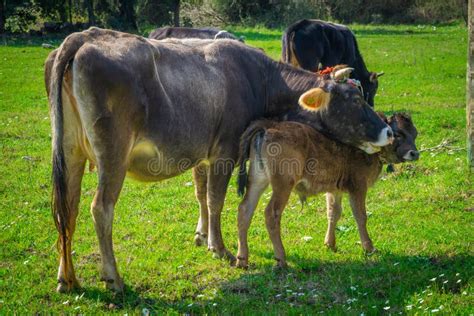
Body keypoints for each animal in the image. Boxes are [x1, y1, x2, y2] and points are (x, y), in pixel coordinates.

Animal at [235, 112, 416, 268]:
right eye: (398, 133)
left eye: (415, 133)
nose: (414, 153)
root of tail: (269, 127)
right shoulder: (358, 187)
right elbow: (361, 216)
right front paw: (369, 248)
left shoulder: (335, 190)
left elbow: (333, 213)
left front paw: (330, 244)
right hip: (283, 186)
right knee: (271, 213)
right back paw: (281, 259)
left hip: (258, 180)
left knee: (245, 209)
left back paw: (242, 260)